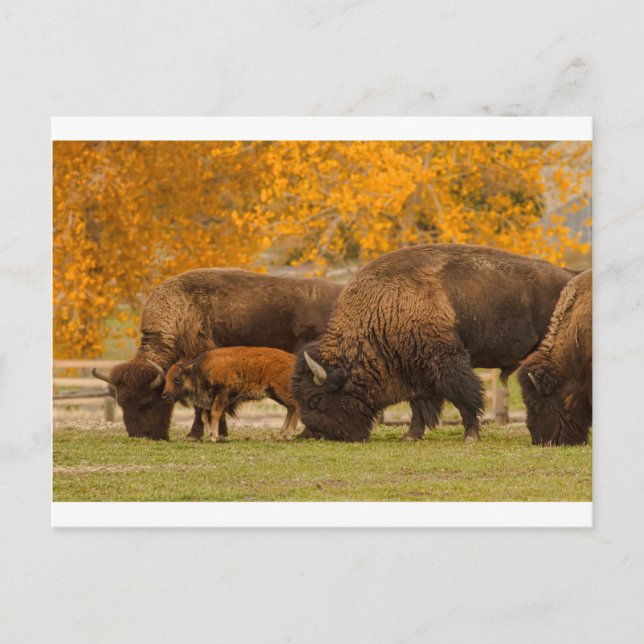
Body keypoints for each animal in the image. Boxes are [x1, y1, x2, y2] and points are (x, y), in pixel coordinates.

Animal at [293, 244, 580, 443]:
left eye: (316, 399)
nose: (316, 434)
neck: (383, 309)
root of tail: (571, 277)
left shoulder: (447, 361)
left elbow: (465, 397)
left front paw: (470, 437)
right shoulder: (416, 369)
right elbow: (420, 405)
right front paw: (410, 436)